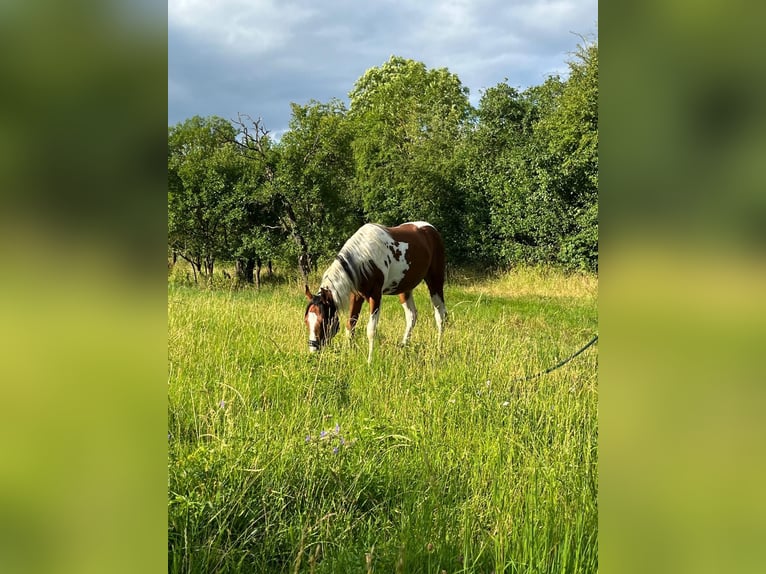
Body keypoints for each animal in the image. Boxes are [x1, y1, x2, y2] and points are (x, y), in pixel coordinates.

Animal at [304, 221, 447, 363]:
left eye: (323, 321)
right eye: (306, 321)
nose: (313, 351)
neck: (365, 258)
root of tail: (430, 229)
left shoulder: (376, 296)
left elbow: (371, 330)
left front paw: (370, 361)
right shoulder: (356, 296)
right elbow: (350, 325)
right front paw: (347, 354)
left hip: (435, 281)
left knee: (441, 316)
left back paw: (439, 350)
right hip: (405, 289)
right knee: (411, 316)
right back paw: (403, 347)